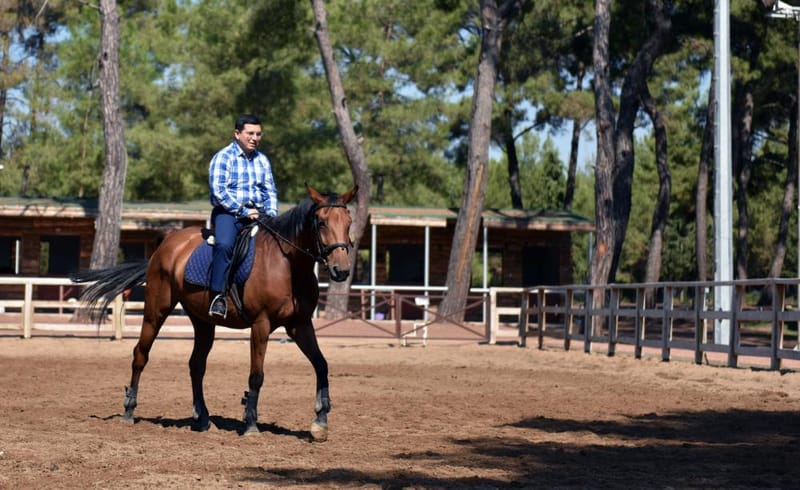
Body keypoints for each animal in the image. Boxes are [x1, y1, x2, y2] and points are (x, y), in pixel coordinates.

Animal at [70, 184, 358, 440]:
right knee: (140, 355)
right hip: (156, 311)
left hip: (202, 321)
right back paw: (129, 410)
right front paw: (250, 424)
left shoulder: (300, 325)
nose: (341, 270)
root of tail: (165, 246)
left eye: (348, 222)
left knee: (196, 365)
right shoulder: (261, 325)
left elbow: (322, 364)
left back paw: (202, 418)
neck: (288, 265)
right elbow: (257, 375)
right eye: (321, 223)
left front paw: (320, 421)